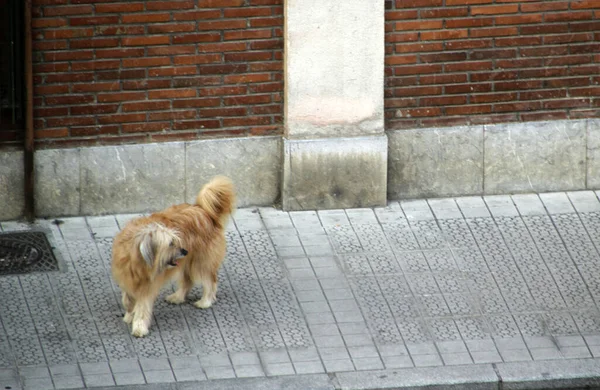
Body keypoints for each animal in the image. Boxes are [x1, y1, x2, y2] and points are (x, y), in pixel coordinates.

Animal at [111, 175, 236, 336]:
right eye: (171, 243)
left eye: (175, 240)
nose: (184, 251)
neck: (137, 259)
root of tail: (203, 211)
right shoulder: (127, 280)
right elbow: (127, 300)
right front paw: (129, 315)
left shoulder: (147, 287)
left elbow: (142, 306)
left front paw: (139, 326)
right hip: (187, 263)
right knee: (188, 281)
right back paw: (178, 297)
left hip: (200, 262)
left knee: (210, 281)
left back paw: (205, 301)